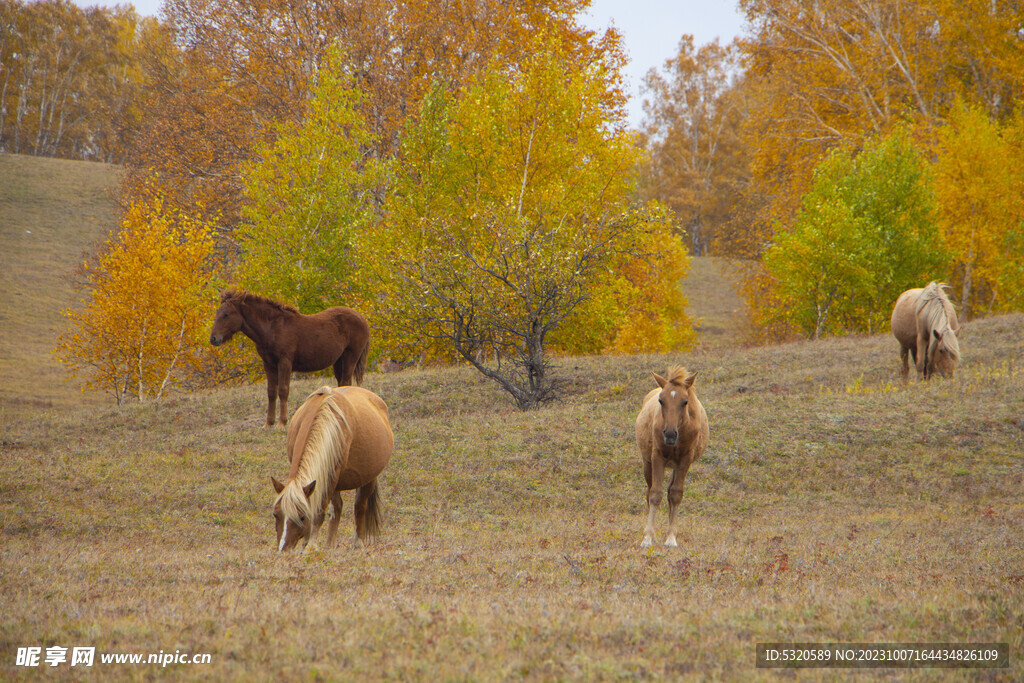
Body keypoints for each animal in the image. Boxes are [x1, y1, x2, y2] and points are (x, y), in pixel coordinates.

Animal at [206, 290, 368, 428]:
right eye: (218, 313)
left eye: (226, 314)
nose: (213, 338)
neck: (272, 328)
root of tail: (362, 318)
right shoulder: (268, 364)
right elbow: (271, 392)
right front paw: (268, 423)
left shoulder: (284, 363)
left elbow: (283, 390)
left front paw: (282, 422)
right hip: (338, 361)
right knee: (341, 384)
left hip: (350, 357)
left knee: (346, 382)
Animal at [272, 387, 391, 552]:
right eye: (276, 515)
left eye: (301, 517)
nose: (284, 549)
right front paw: (308, 543)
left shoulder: (331, 475)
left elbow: (319, 511)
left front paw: (311, 545)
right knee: (338, 508)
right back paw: (330, 544)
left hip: (367, 479)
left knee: (360, 506)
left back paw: (358, 543)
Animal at [634, 366, 708, 548]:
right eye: (661, 401)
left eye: (685, 401)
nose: (669, 435)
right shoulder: (657, 457)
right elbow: (655, 494)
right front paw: (648, 537)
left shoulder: (685, 460)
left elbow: (675, 494)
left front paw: (671, 538)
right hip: (647, 463)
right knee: (649, 491)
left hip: (675, 466)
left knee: (670, 492)